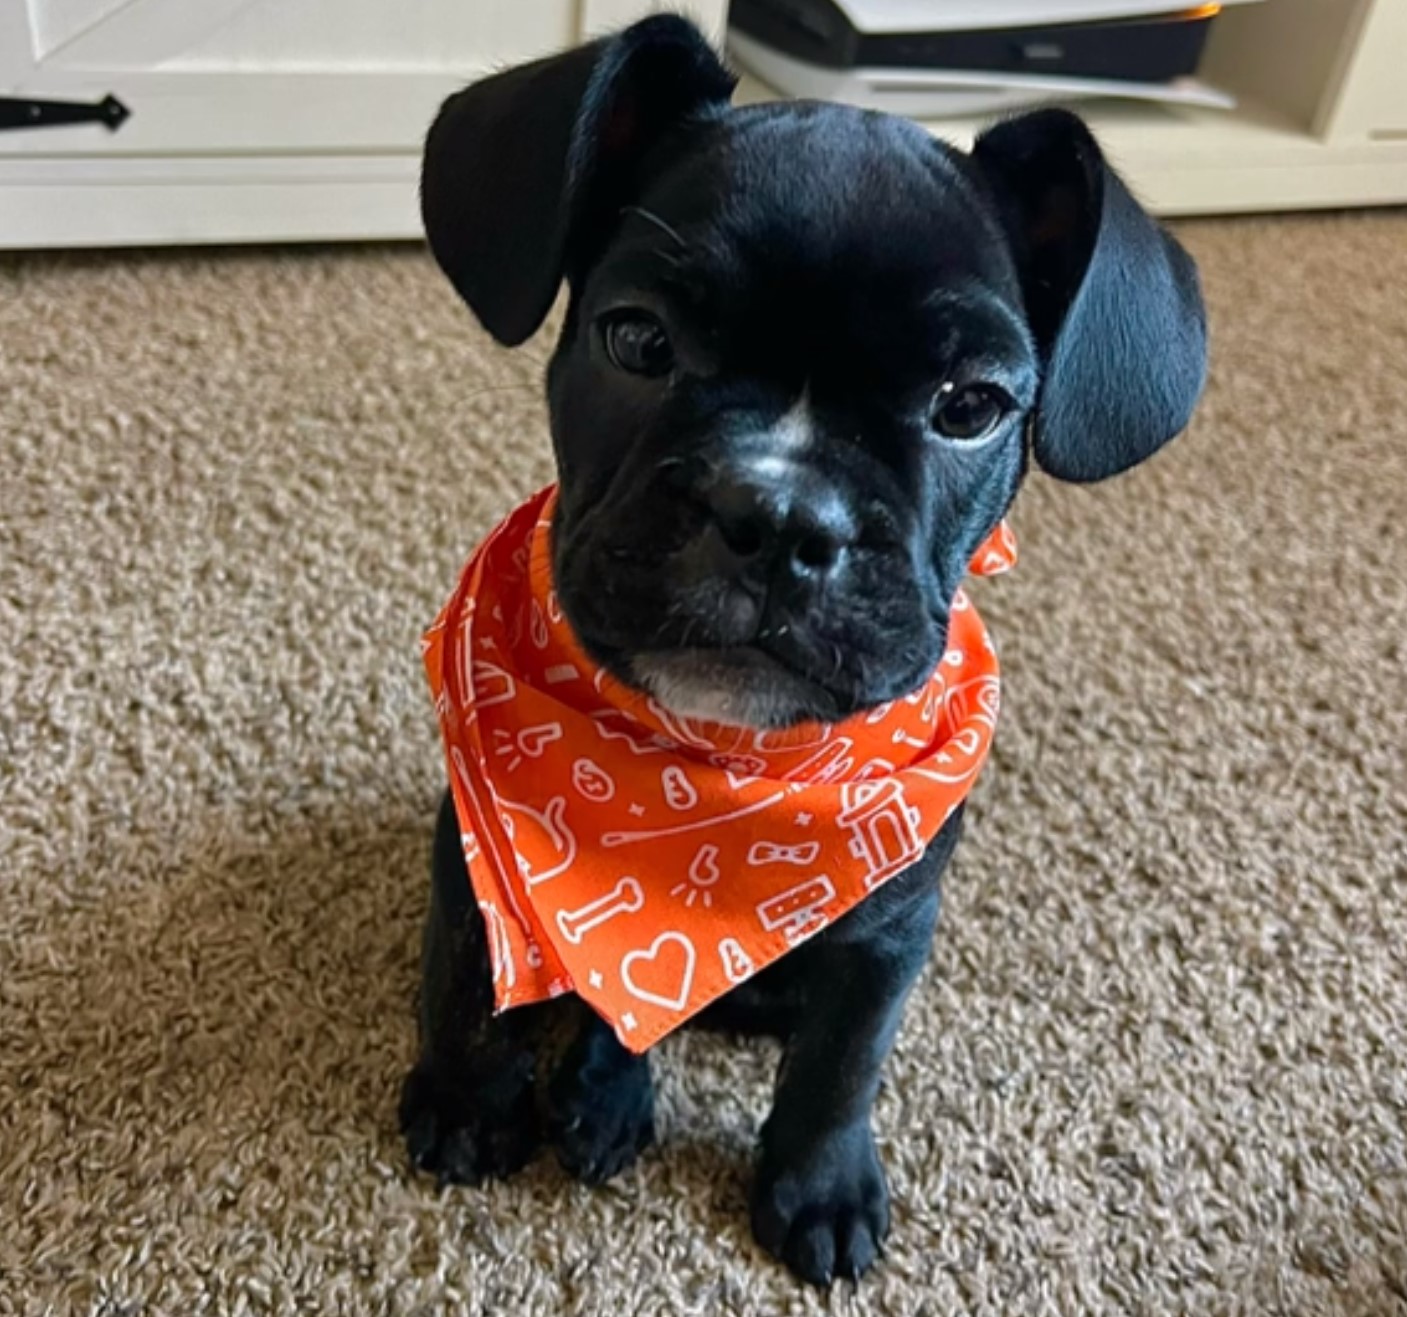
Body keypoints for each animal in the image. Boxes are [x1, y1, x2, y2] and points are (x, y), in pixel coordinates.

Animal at [399, 12, 1210, 1288]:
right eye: (637, 340)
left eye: (970, 407)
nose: (779, 515)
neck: (719, 772)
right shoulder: (474, 852)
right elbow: (475, 976)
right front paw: (467, 1099)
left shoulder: (888, 929)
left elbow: (842, 1061)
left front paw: (820, 1186)